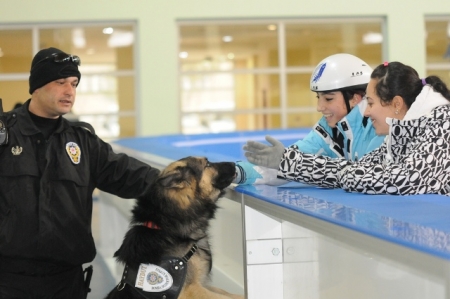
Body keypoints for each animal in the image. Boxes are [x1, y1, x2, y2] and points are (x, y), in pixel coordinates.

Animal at [105, 157, 244, 299]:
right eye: (208, 164)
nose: (233, 163)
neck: (169, 229)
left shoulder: (200, 285)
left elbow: (229, 294)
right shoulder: (191, 289)